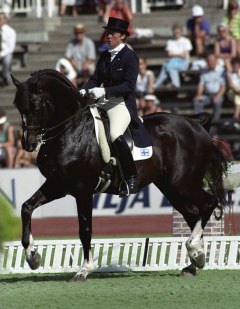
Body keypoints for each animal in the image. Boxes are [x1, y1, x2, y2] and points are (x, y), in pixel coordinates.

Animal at [12, 69, 228, 280]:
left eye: (36, 107)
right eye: (18, 107)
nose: (28, 144)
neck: (70, 129)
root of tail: (195, 123)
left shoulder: (83, 190)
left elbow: (85, 229)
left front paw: (84, 270)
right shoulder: (58, 185)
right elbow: (27, 207)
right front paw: (33, 257)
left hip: (182, 182)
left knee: (208, 203)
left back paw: (194, 251)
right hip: (171, 187)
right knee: (192, 214)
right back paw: (194, 263)